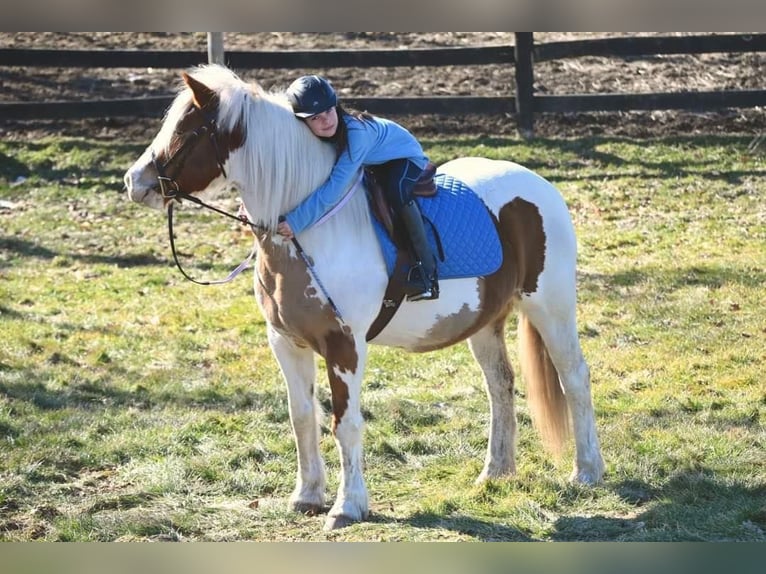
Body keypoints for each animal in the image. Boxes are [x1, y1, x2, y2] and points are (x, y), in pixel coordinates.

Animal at [124, 63, 608, 532]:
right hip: (485, 321)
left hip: (551, 308)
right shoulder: (286, 343)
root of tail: (539, 185)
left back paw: (587, 471)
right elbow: (303, 418)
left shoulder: (344, 346)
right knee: (500, 385)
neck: (311, 227)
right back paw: (495, 472)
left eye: (188, 131)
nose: (134, 182)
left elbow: (346, 423)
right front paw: (307, 496)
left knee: (574, 378)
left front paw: (347, 506)